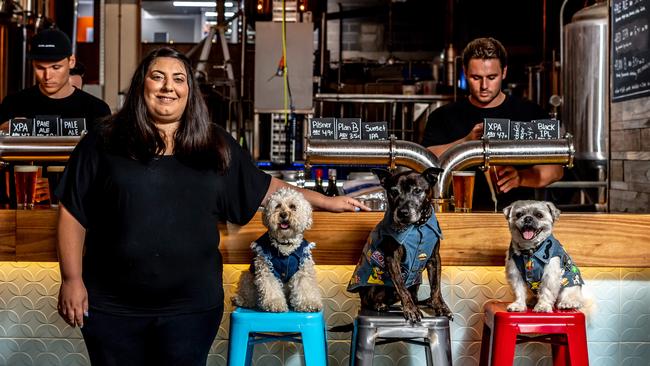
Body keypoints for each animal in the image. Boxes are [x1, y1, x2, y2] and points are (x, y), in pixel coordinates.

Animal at [350, 167, 450, 322]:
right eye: (394, 192)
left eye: (417, 191)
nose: (403, 212)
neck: (417, 226)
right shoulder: (392, 259)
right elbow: (402, 287)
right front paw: (410, 309)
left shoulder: (434, 259)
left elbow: (436, 287)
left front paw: (440, 306)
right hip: (374, 287)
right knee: (367, 300)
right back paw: (379, 304)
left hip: (416, 284)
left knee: (415, 296)